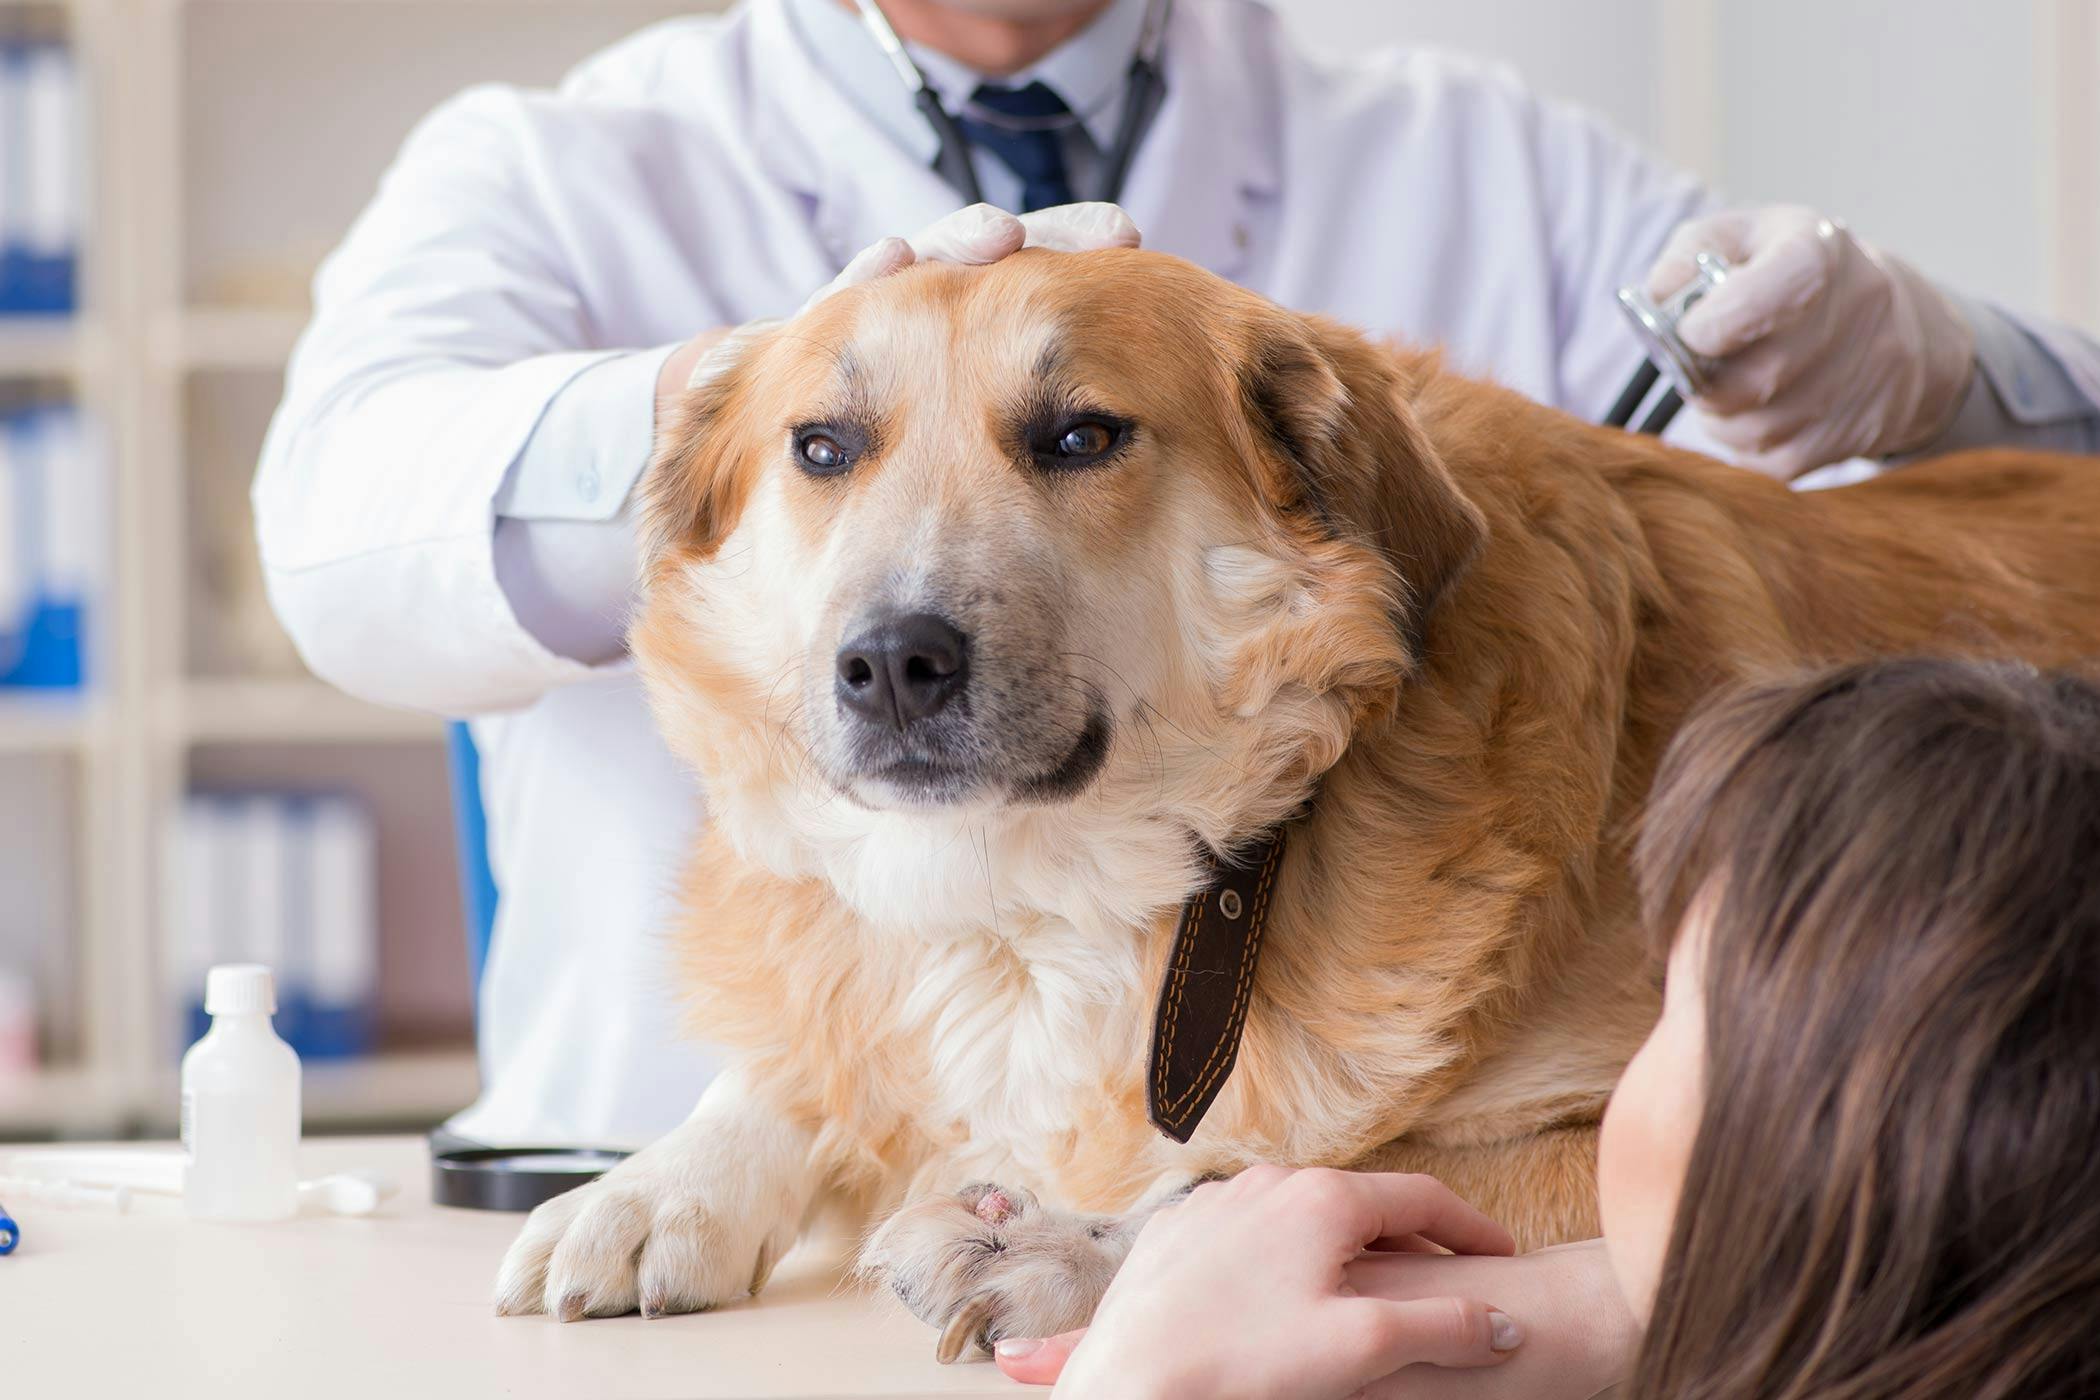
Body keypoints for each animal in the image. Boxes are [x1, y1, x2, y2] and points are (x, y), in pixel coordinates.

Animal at [491, 243, 2100, 1360]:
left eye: (1081, 435)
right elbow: (804, 1048)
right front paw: (658, 1185)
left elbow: (1307, 1170)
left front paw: (1084, 1244)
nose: (891, 663)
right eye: (822, 447)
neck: (1052, 902)